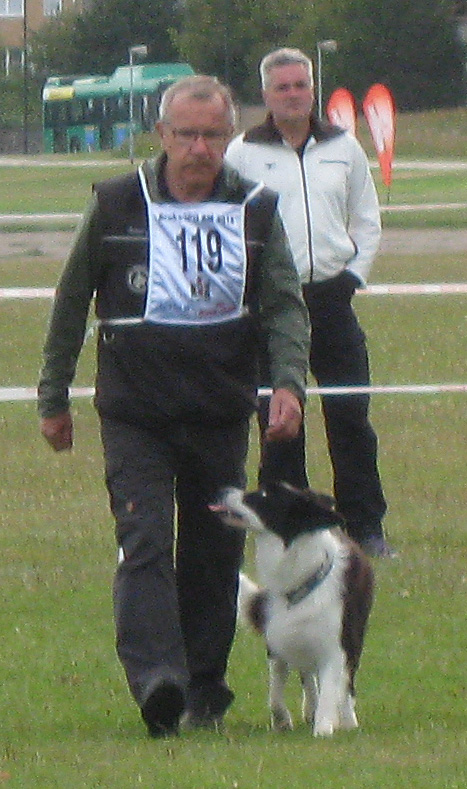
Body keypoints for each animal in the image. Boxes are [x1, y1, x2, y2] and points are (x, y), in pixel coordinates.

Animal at [209, 482, 374, 736]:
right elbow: (275, 694)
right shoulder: (278, 639)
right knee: (308, 675)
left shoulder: (335, 646)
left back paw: (345, 718)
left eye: (262, 496)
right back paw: (311, 709)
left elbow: (331, 688)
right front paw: (282, 721)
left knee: (345, 681)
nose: (223, 490)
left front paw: (324, 729)